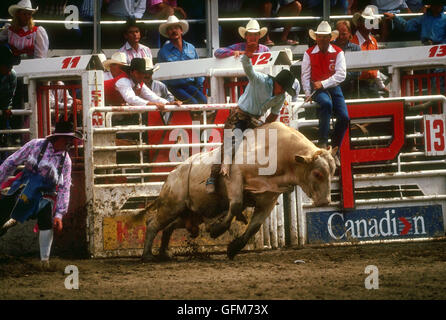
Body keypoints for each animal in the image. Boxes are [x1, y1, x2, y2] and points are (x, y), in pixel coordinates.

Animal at [141, 121, 336, 262]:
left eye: (333, 171)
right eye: (317, 173)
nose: (325, 201)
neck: (279, 152)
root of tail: (172, 174)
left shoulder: (269, 199)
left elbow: (254, 226)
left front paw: (233, 248)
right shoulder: (234, 175)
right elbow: (235, 205)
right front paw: (216, 229)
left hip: (190, 214)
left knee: (168, 227)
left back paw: (164, 253)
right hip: (172, 205)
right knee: (152, 224)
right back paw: (147, 256)